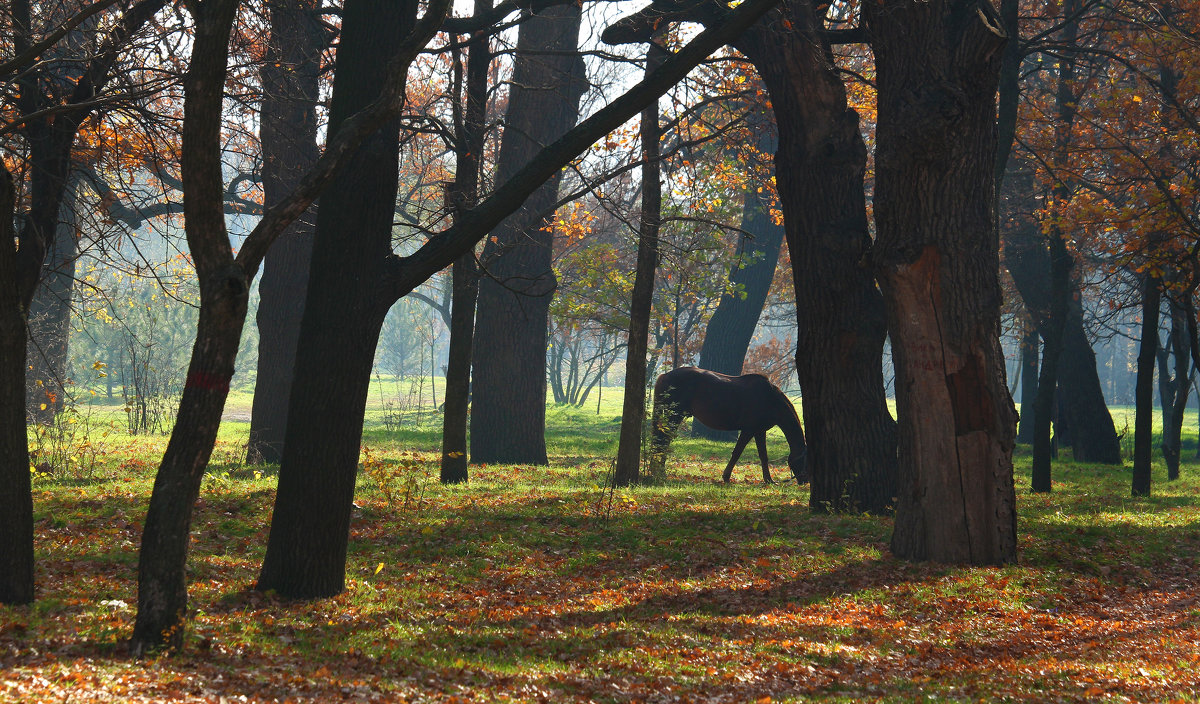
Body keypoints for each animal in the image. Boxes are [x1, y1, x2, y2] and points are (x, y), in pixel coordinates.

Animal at [652, 369, 811, 484]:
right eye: (805, 461)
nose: (805, 481)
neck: (770, 399)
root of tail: (664, 375)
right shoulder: (749, 430)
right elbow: (737, 453)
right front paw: (726, 477)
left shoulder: (759, 431)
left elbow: (763, 455)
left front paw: (768, 480)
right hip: (674, 417)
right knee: (662, 442)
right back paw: (660, 473)